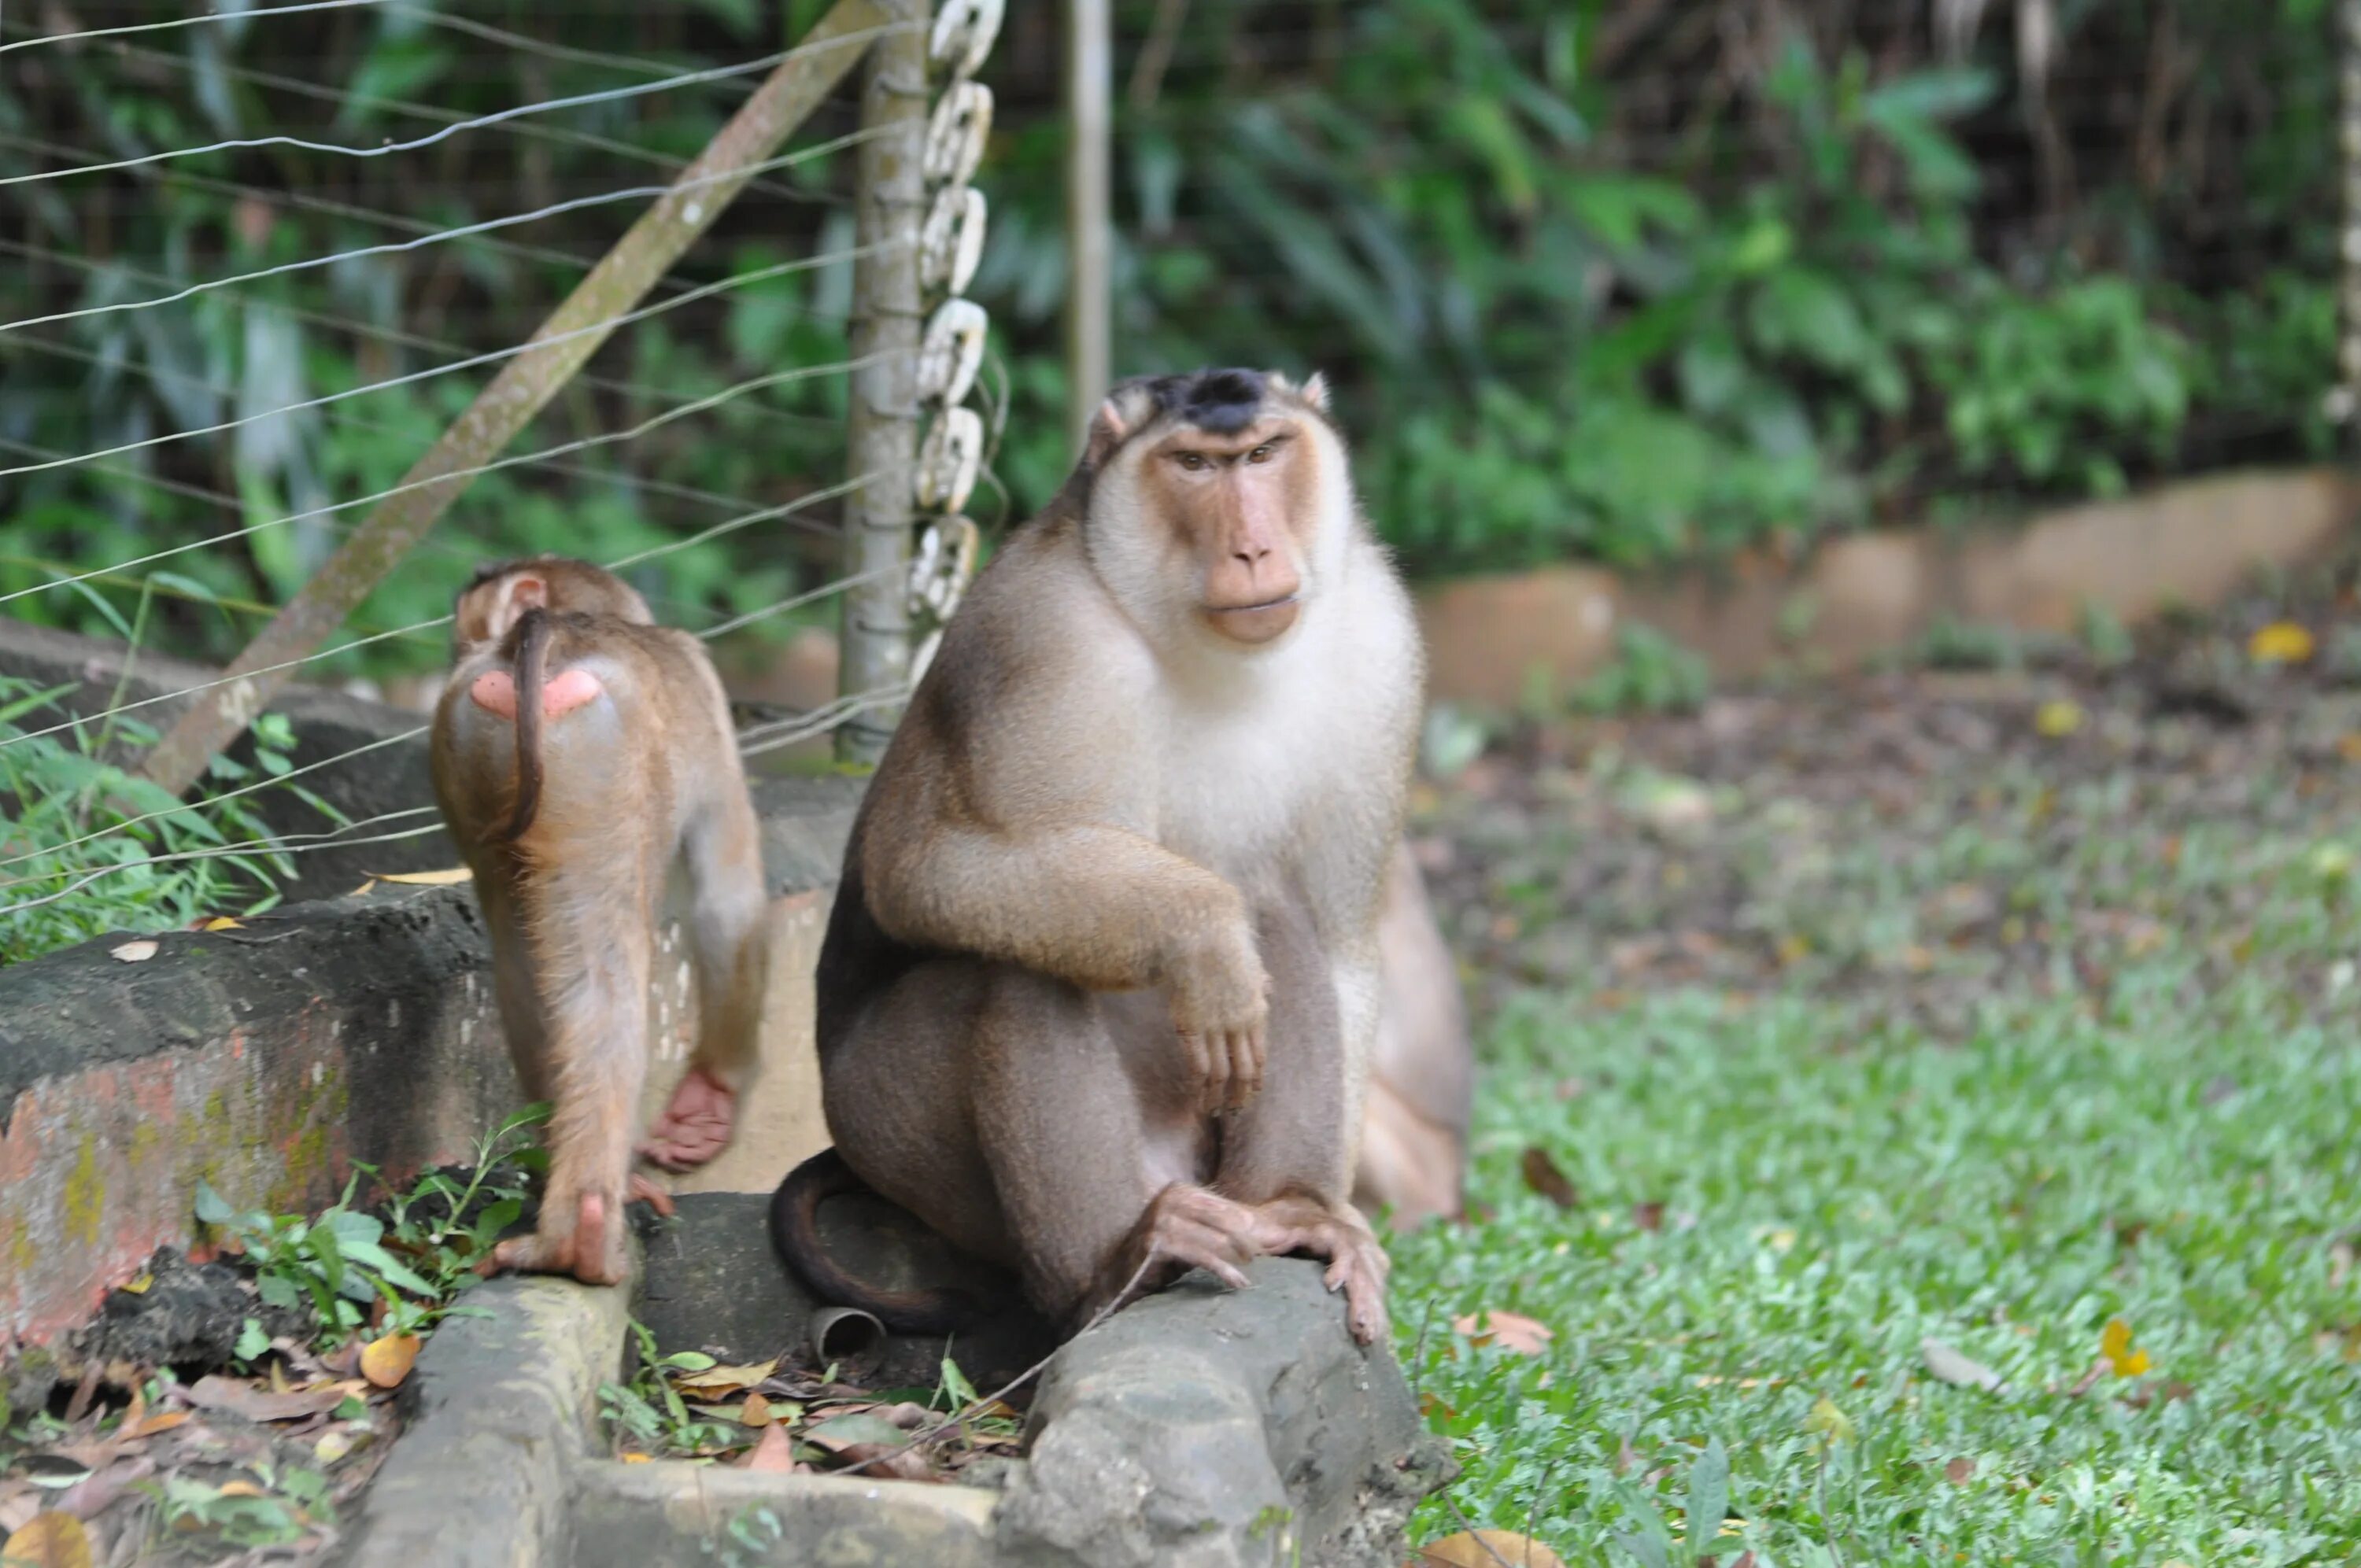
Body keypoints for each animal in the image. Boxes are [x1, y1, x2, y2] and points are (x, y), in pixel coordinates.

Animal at [430, 557, 770, 1284]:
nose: (463, 644)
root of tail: (546, 636)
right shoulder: (703, 684)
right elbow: (728, 902)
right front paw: (709, 1100)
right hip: (601, 763)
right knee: (606, 978)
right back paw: (580, 1233)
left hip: (476, 741)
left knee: (523, 962)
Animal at [779, 371, 1417, 1350]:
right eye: (1194, 465)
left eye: (1264, 453)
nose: (1253, 546)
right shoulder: (1040, 636)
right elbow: (924, 868)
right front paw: (1200, 934)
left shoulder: (1380, 642)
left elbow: (1343, 943)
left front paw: (1331, 1207)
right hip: (885, 1126)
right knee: (1020, 970)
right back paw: (1118, 1262)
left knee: (1278, 910)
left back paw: (1286, 1208)